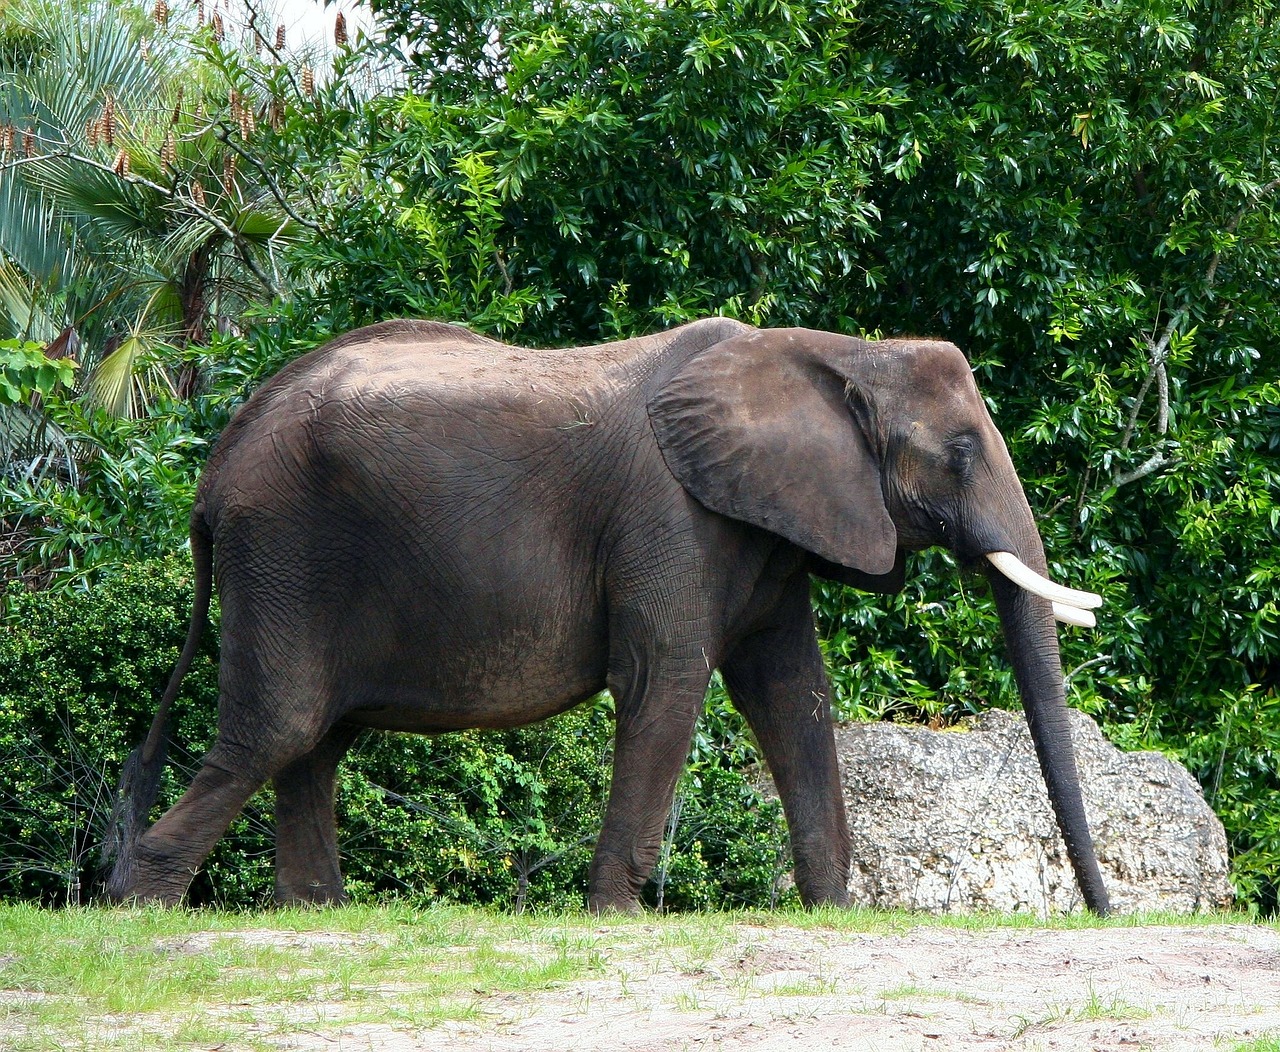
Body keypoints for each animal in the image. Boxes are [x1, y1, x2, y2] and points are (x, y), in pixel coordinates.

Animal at [104, 318, 1111, 916]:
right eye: (961, 452)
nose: (1105, 914)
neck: (836, 351)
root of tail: (218, 462)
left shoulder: (765, 532)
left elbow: (792, 692)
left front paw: (834, 912)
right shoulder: (668, 516)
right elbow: (667, 680)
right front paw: (622, 915)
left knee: (316, 741)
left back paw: (317, 911)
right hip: (282, 552)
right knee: (281, 725)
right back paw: (141, 903)